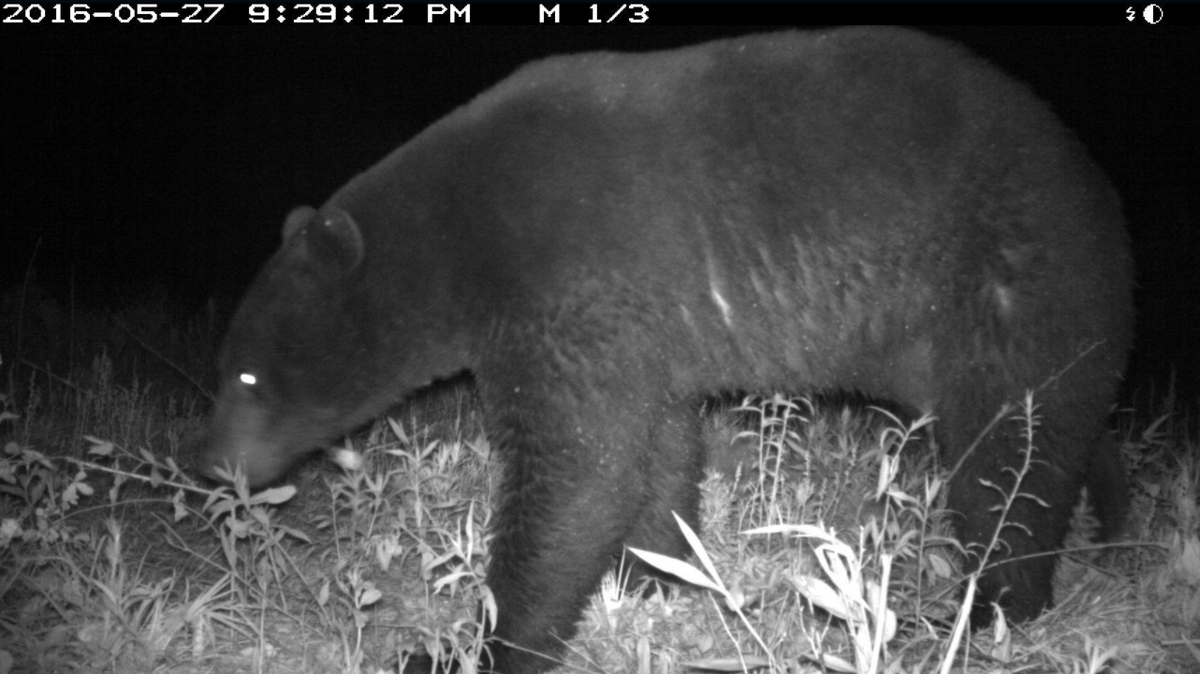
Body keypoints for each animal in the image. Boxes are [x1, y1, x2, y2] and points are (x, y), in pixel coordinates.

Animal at [200, 27, 1132, 673]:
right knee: (1069, 437)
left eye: (244, 373)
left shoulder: (565, 284)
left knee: (1010, 459)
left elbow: (580, 469)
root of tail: (1097, 189)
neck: (453, 245)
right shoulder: (636, 326)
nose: (213, 468)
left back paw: (992, 608)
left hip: (1011, 285)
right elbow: (651, 450)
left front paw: (477, 645)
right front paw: (656, 574)